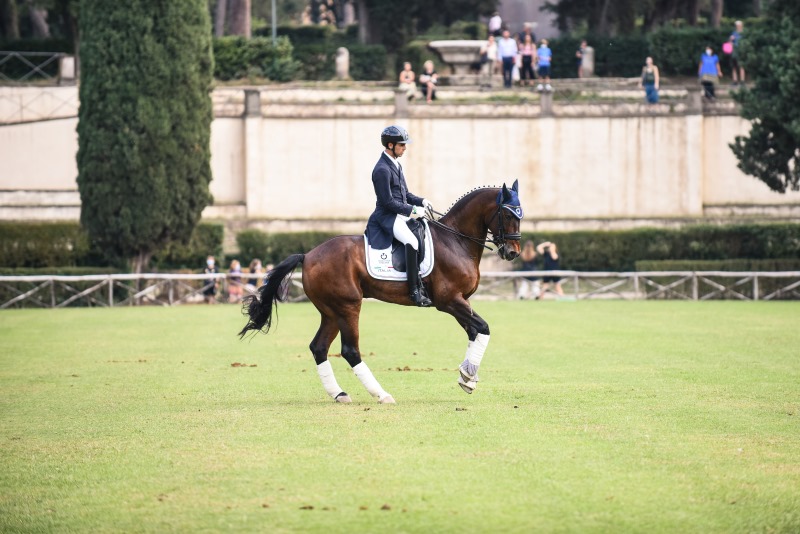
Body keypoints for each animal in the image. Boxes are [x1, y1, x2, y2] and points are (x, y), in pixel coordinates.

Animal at [239, 182, 524, 404]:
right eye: (508, 215)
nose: (512, 253)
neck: (456, 241)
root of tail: (308, 255)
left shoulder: (460, 302)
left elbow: (475, 332)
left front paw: (468, 377)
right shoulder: (450, 301)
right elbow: (483, 327)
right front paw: (468, 377)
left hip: (331, 311)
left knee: (319, 347)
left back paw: (339, 394)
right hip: (348, 306)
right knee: (350, 350)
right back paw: (382, 395)